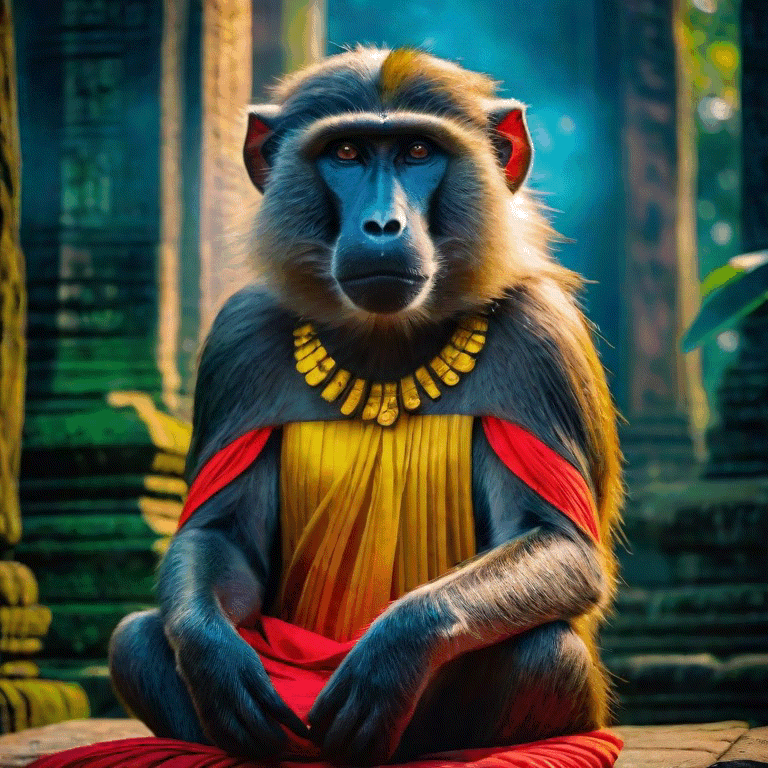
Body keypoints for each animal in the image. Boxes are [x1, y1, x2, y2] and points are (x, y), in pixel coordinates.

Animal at [108, 47, 623, 767]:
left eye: (417, 151)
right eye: (347, 152)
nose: (383, 225)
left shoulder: (540, 339)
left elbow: (559, 541)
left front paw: (393, 650)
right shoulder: (238, 340)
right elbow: (218, 535)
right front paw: (215, 661)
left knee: (545, 652)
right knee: (134, 640)